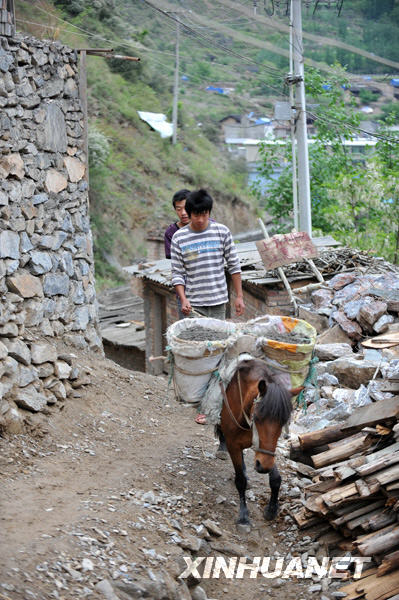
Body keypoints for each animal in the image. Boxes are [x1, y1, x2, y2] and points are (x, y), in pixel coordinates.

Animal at [217, 358, 296, 528]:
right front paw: (243, 517)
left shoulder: (266, 451)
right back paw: (221, 447)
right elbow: (240, 481)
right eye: (258, 417)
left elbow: (276, 479)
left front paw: (271, 510)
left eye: (283, 422)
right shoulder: (234, 445)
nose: (262, 466)